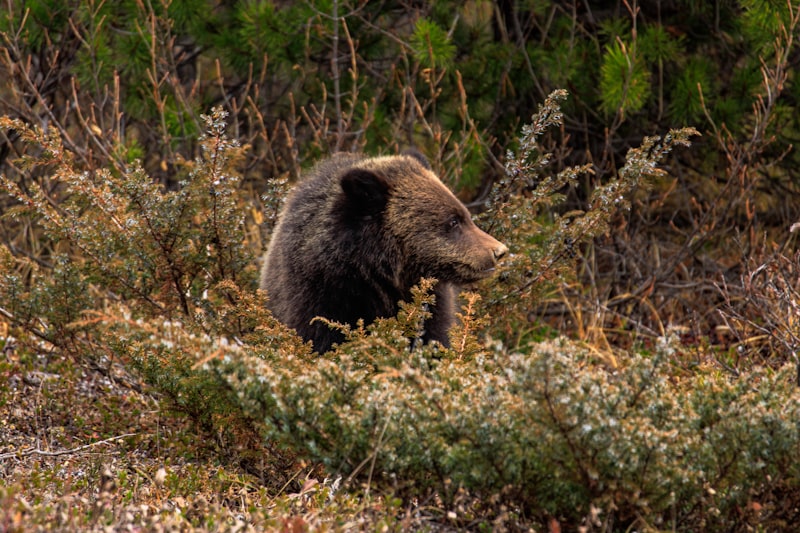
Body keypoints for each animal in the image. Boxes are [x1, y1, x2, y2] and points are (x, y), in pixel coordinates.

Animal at [259, 151, 507, 353]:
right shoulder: (318, 297)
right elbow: (319, 339)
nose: (499, 251)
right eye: (453, 221)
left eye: (465, 214)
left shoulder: (429, 303)